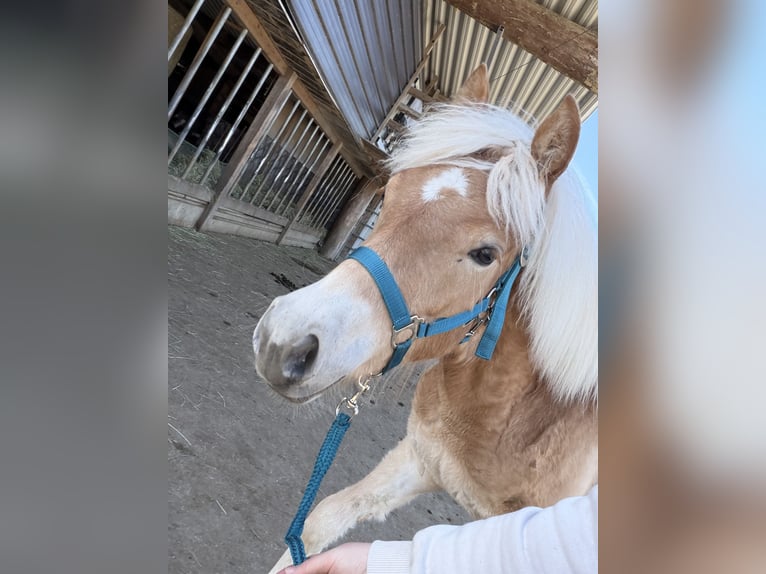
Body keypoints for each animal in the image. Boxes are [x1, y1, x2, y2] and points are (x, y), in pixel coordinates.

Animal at [253, 64, 597, 572]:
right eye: (389, 193)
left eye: (484, 254)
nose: (283, 343)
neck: (517, 411)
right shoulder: (420, 457)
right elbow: (321, 519)